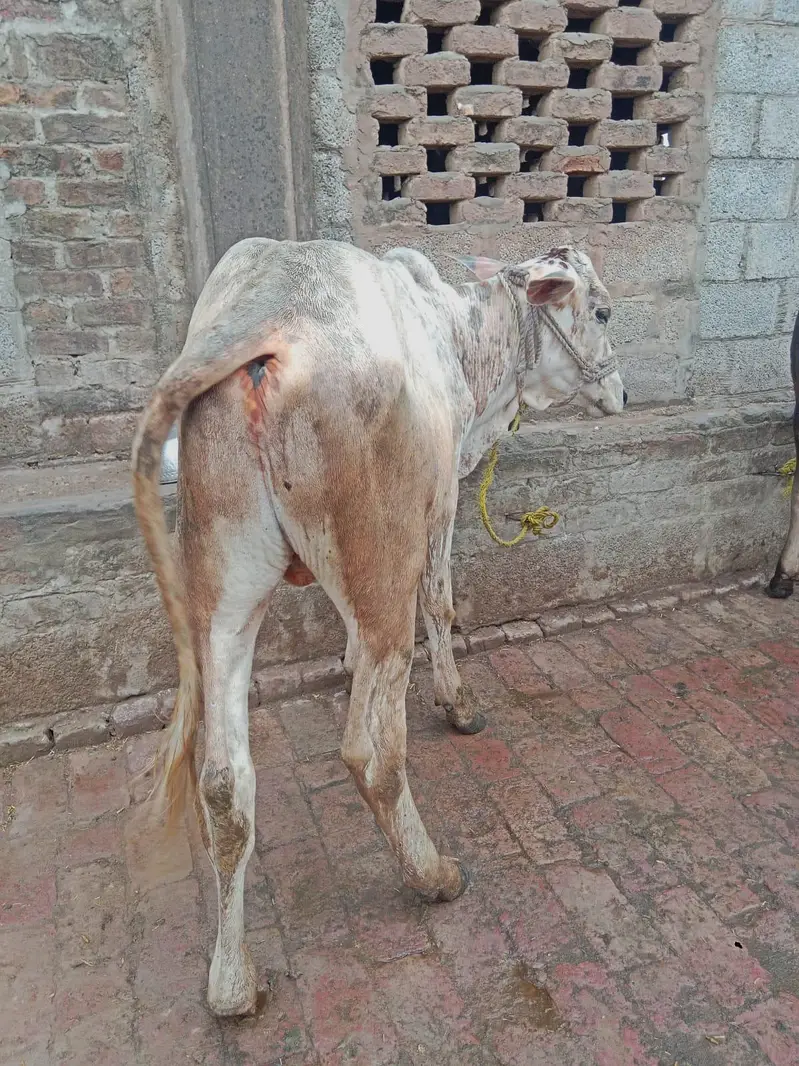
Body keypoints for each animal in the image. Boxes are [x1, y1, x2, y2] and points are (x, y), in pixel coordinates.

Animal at [132, 239, 625, 1016]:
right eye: (601, 311)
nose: (622, 393)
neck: (466, 339)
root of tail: (266, 315)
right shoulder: (442, 501)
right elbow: (442, 605)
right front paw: (457, 704)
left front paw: (344, 662)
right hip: (383, 554)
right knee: (373, 752)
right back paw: (432, 873)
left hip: (224, 587)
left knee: (223, 784)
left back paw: (232, 981)